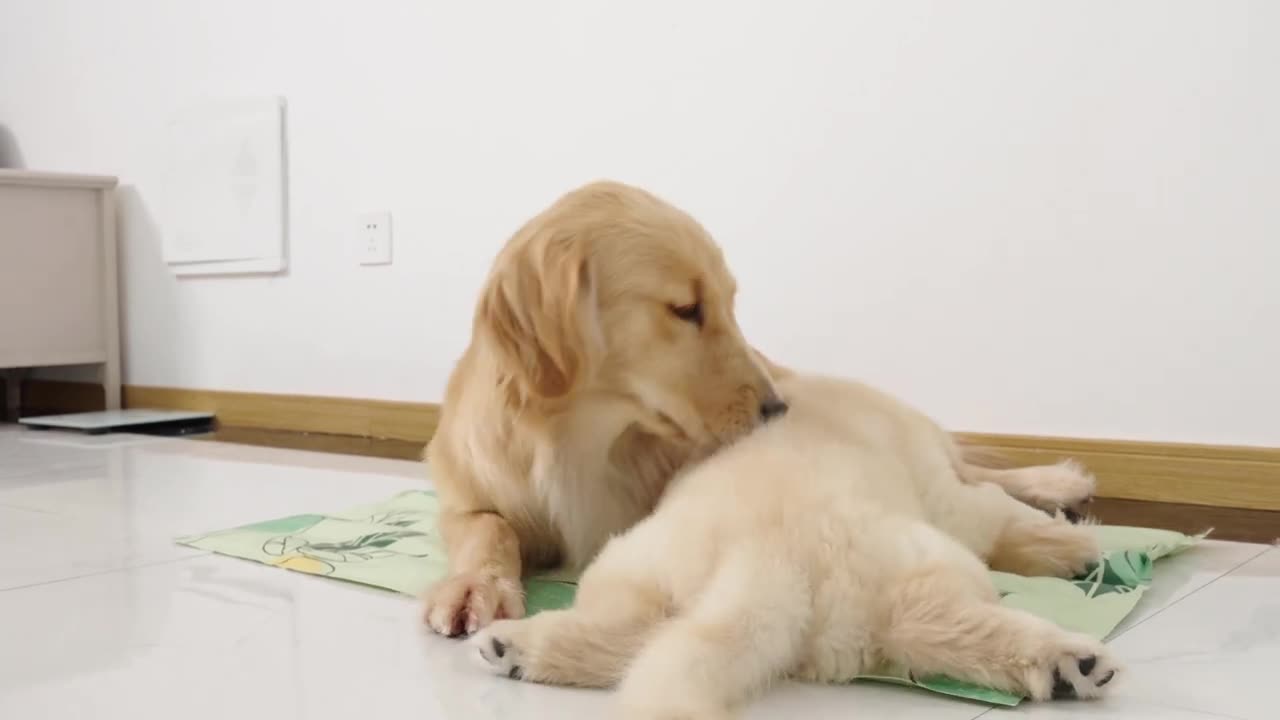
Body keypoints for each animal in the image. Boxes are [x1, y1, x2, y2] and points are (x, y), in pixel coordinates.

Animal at [427, 179, 788, 632]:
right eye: (686, 309)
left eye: (730, 304)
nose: (778, 408)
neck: (581, 443)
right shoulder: (465, 502)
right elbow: (490, 527)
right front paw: (478, 584)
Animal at [473, 371, 1121, 712]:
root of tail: (765, 562)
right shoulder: (953, 501)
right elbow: (1003, 506)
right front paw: (1069, 527)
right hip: (918, 569)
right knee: (952, 621)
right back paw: (1075, 658)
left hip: (634, 570)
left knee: (631, 637)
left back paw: (513, 646)